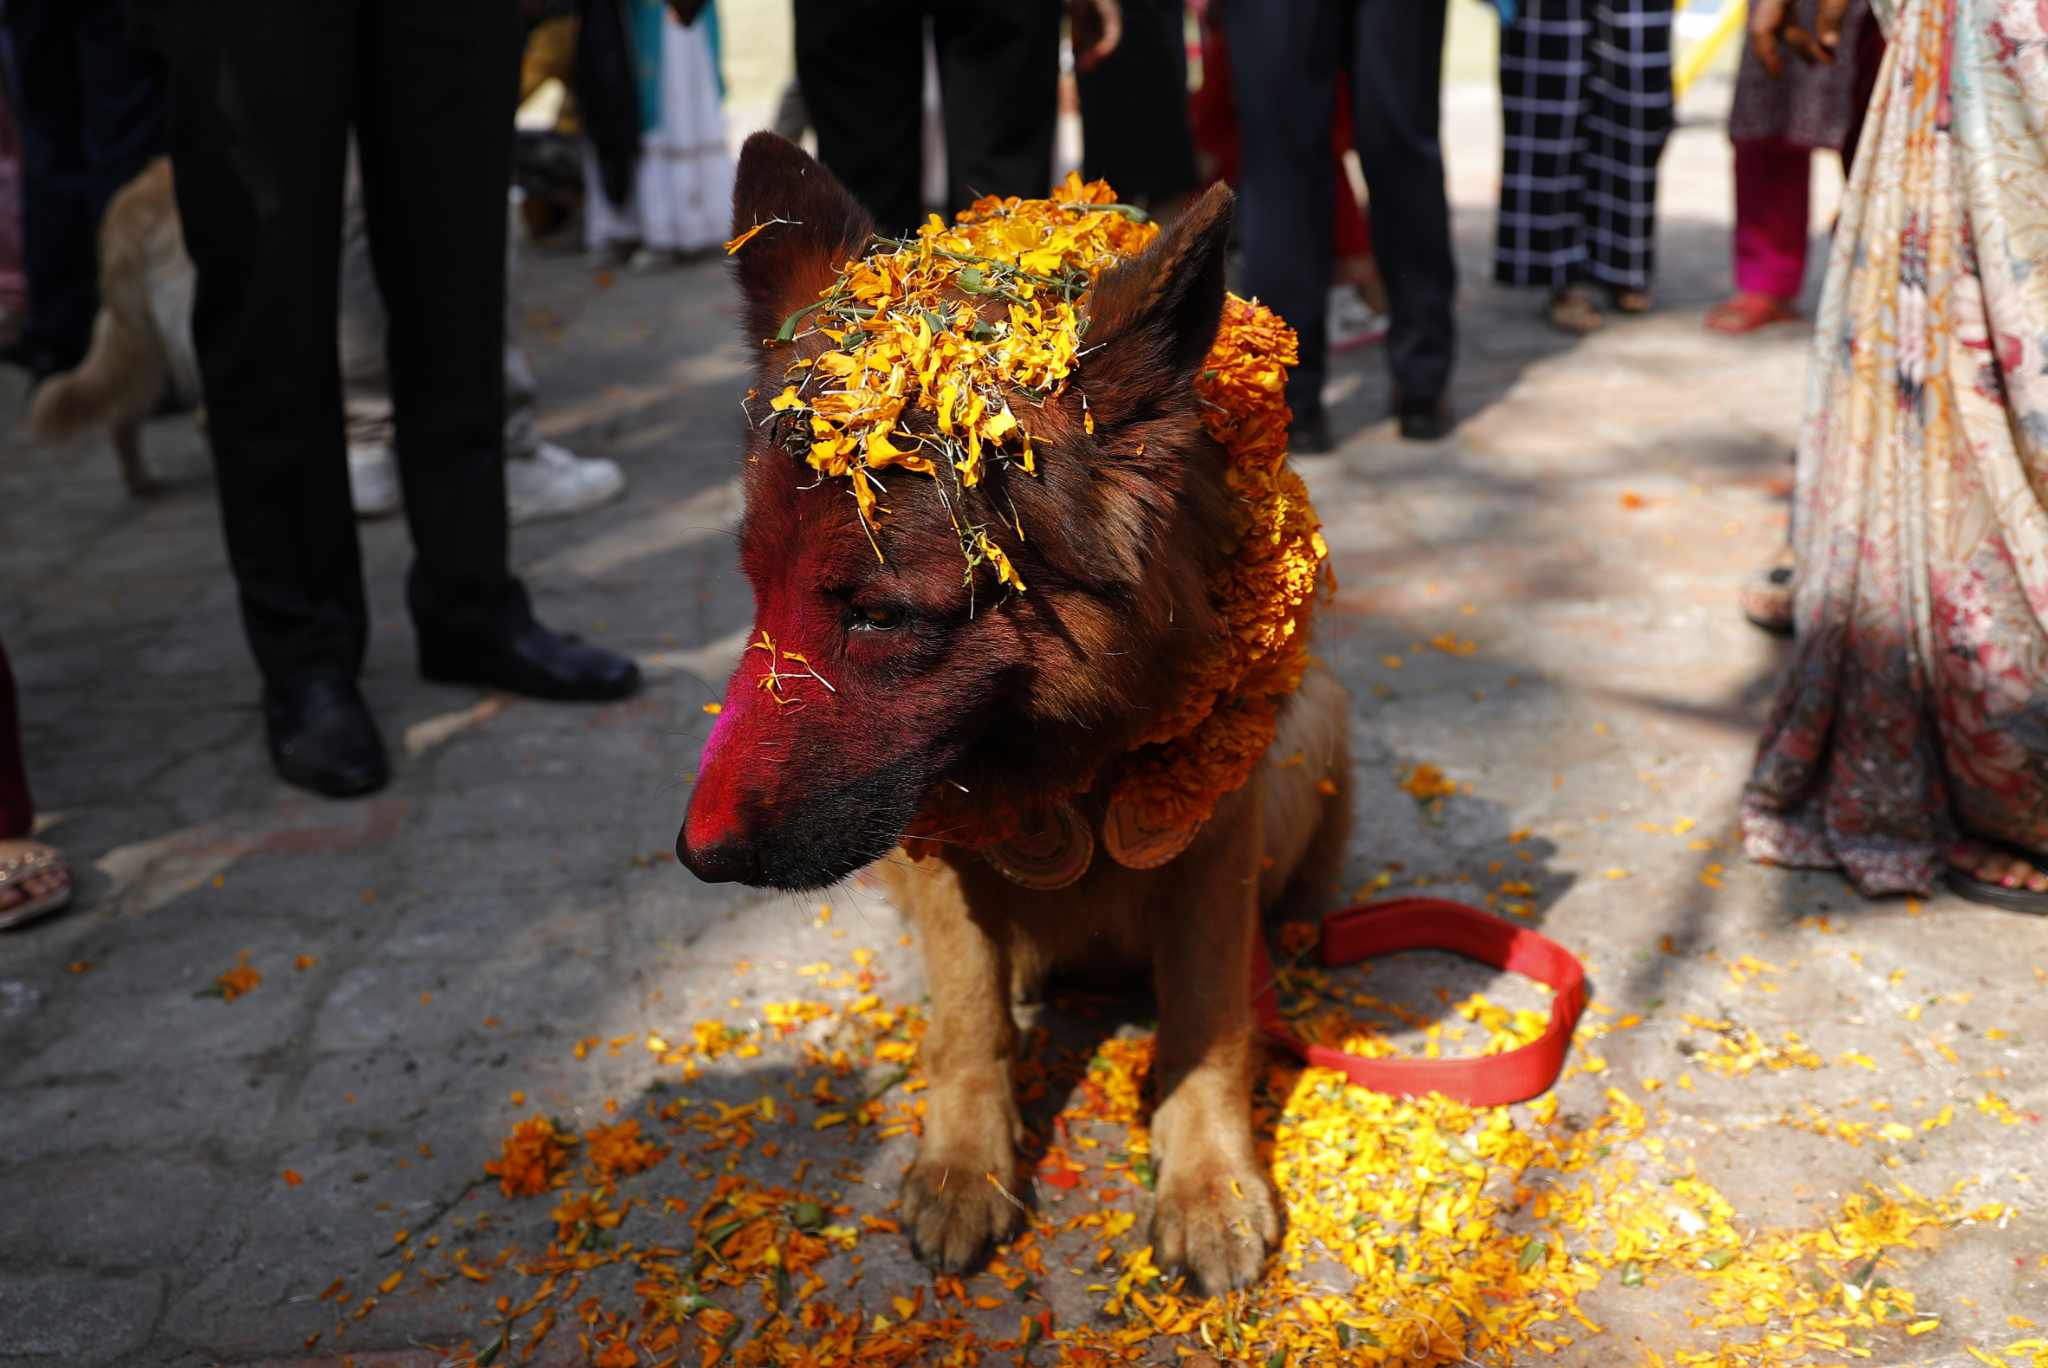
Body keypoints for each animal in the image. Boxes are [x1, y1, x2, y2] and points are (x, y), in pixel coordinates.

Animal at [679, 136, 1351, 1294]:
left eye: (877, 614)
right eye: (757, 590)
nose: (693, 854)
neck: (1066, 769)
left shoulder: (1211, 843)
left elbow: (1208, 1018)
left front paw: (1207, 1180)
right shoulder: (942, 844)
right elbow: (966, 1018)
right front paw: (964, 1164)